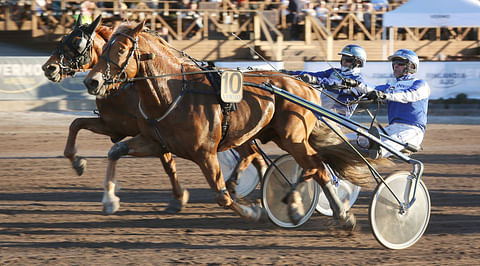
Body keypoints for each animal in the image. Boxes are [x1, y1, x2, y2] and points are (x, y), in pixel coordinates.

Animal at [83, 21, 382, 229]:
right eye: (104, 47)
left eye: (122, 49)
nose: (92, 82)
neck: (173, 93)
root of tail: (304, 85)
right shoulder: (156, 141)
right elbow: (115, 152)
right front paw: (109, 201)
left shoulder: (205, 154)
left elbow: (222, 196)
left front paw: (253, 210)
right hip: (270, 135)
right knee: (298, 165)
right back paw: (303, 205)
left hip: (293, 137)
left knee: (317, 167)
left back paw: (333, 212)